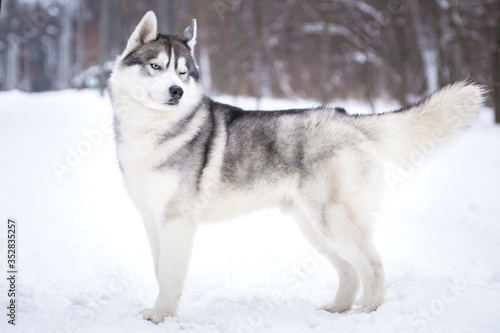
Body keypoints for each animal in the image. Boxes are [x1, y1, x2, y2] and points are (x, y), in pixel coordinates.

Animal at [108, 9, 484, 322]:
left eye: (183, 73)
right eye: (156, 66)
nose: (177, 91)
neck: (154, 132)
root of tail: (347, 118)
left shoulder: (177, 222)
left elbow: (169, 275)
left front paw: (161, 316)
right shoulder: (153, 221)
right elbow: (159, 270)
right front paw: (160, 311)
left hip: (332, 222)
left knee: (372, 264)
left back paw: (369, 313)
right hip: (314, 226)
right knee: (349, 271)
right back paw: (338, 308)